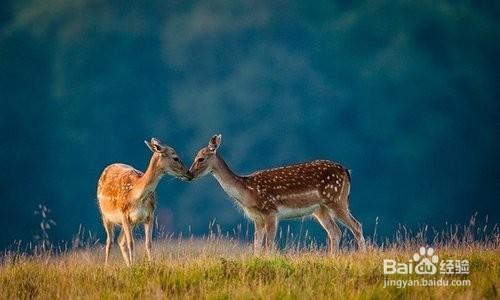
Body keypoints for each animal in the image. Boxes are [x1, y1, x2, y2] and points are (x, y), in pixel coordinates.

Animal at [96, 137, 190, 266]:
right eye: (175, 157)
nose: (188, 173)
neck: (136, 195)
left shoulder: (149, 215)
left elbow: (148, 243)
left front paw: (149, 264)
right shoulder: (123, 213)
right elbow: (131, 243)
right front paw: (134, 265)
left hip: (132, 223)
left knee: (120, 241)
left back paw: (128, 265)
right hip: (105, 215)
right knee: (109, 241)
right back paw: (106, 266)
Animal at [188, 135, 364, 254]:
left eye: (201, 158)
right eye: (194, 157)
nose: (189, 174)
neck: (247, 192)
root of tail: (346, 171)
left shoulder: (270, 212)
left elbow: (268, 246)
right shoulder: (257, 219)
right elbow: (256, 246)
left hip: (336, 199)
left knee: (356, 226)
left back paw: (362, 254)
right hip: (320, 209)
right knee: (335, 232)